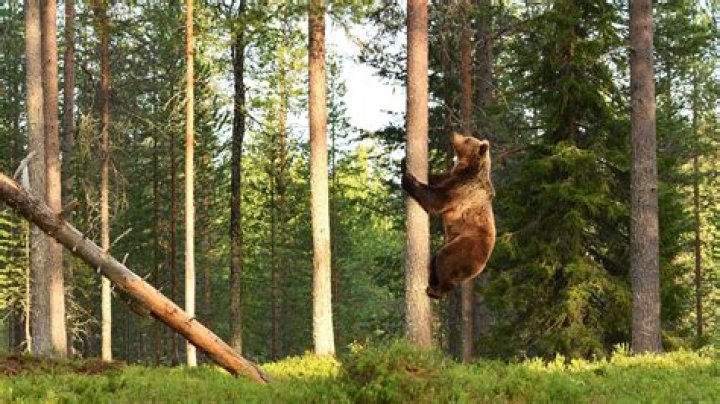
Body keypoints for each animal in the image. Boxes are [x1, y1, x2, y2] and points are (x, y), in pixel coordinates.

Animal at [401, 132, 496, 299]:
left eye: (467, 139)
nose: (454, 134)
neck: (468, 168)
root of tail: (480, 268)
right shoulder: (452, 177)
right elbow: (436, 178)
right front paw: (403, 162)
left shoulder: (463, 188)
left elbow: (437, 199)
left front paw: (408, 179)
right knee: (436, 259)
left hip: (467, 246)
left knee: (445, 259)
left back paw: (436, 290)